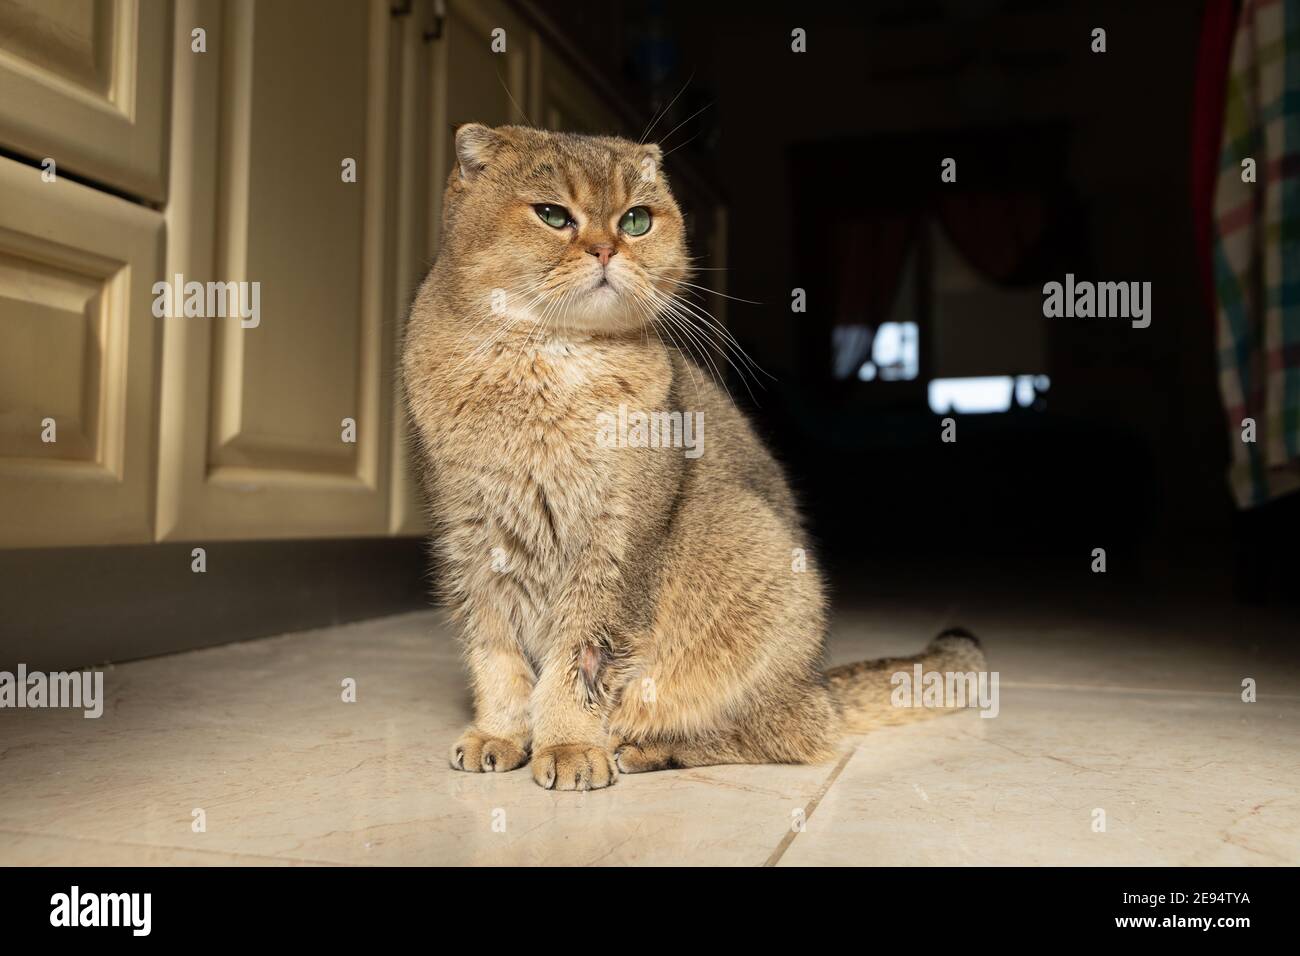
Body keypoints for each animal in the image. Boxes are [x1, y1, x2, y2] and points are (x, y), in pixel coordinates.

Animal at [400, 121, 977, 790]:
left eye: (637, 220)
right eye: (552, 215)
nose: (606, 250)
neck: (545, 366)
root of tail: (818, 681)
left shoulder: (617, 547)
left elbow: (580, 660)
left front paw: (568, 745)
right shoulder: (472, 541)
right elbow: (495, 654)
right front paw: (499, 732)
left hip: (758, 552)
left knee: (796, 734)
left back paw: (645, 747)